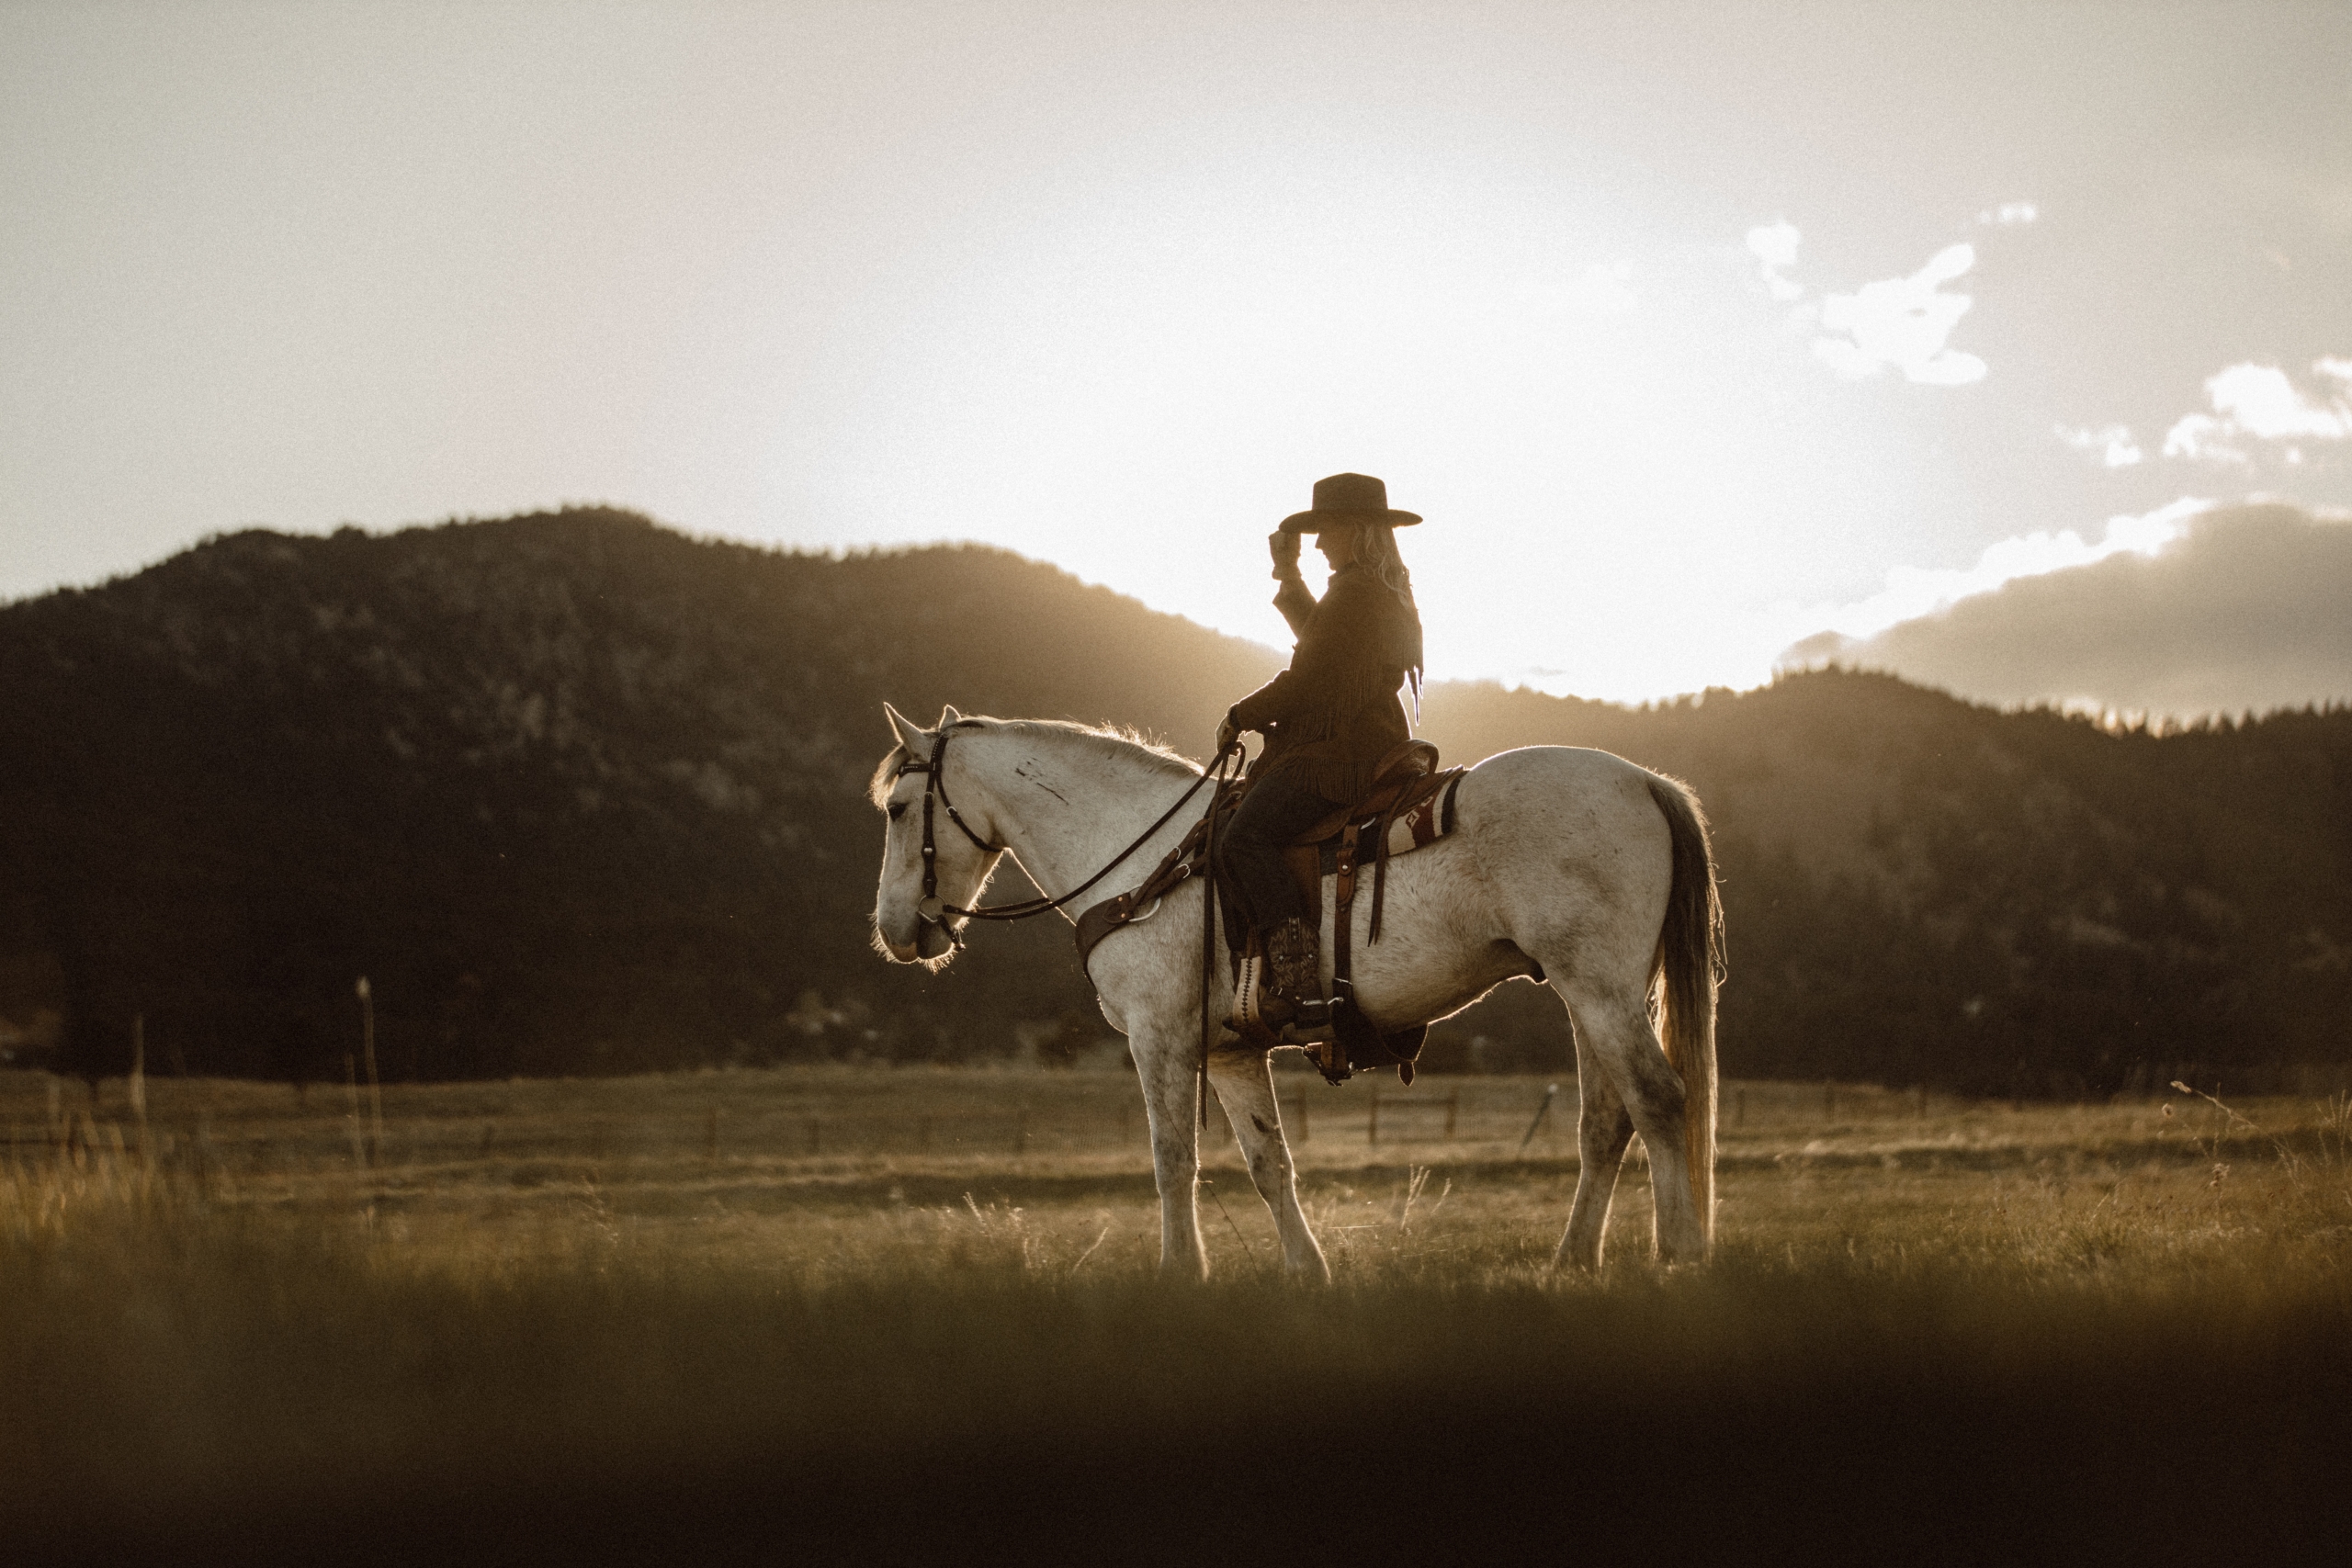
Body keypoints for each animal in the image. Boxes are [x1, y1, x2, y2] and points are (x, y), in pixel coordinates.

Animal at [875, 700, 1721, 1279]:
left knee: (1658, 1098)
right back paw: (1573, 1259)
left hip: (1599, 987)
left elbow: (1172, 1156)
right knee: (1605, 1123)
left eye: (895, 808)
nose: (894, 930)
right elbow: (1267, 1161)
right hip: (1590, 994)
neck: (1142, 859)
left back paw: (1679, 1252)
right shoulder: (1232, 1052)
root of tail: (1646, 782)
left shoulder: (1160, 1037)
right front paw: (1305, 1271)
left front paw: (1180, 1273)